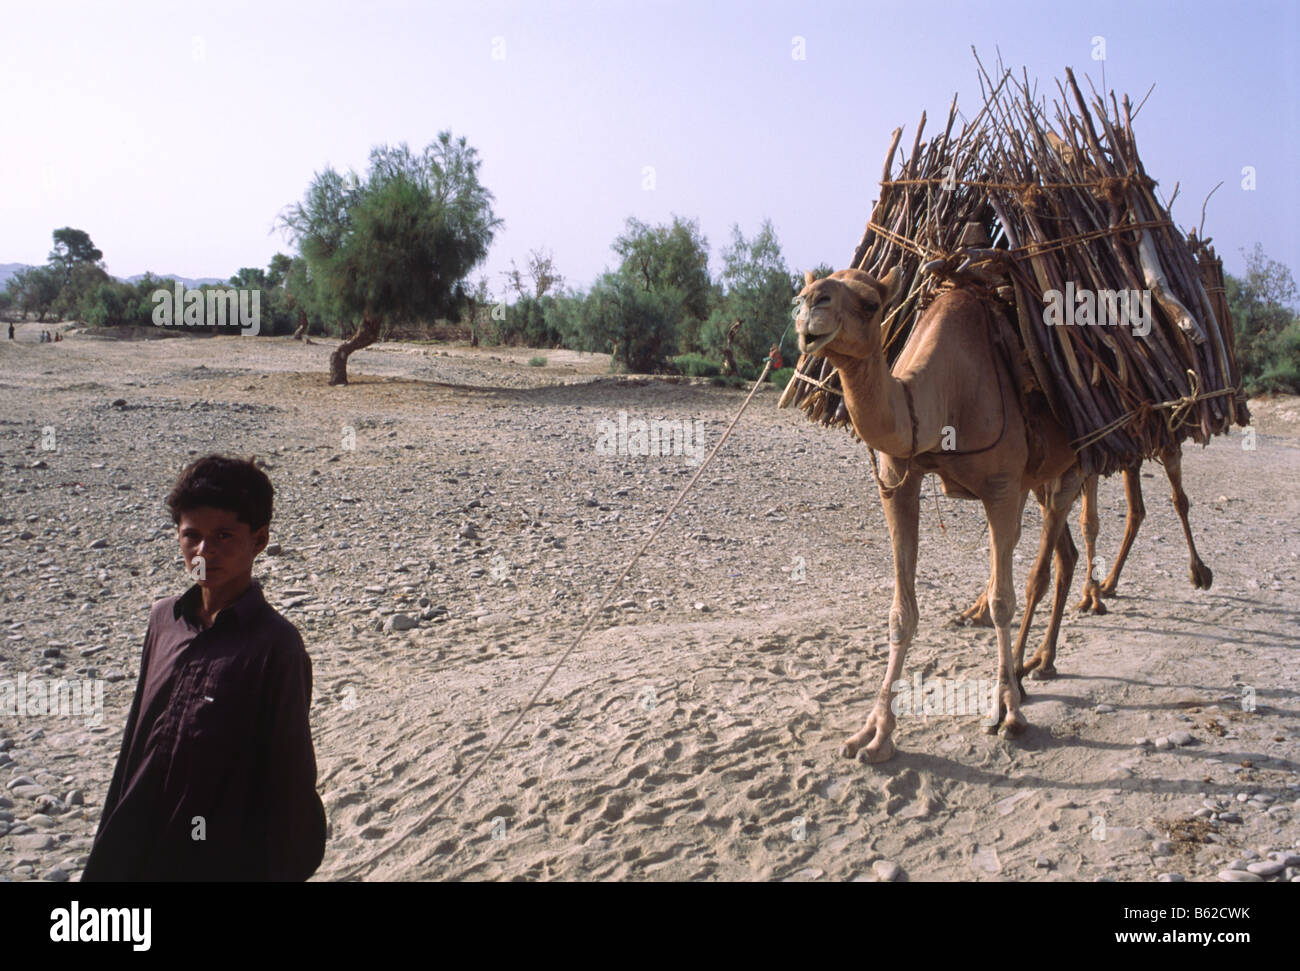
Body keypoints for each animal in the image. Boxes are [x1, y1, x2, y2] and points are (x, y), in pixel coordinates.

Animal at [793, 266, 1086, 760]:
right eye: (805, 291)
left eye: (871, 303)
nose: (812, 303)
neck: (941, 398)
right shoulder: (898, 480)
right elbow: (901, 612)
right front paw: (874, 734)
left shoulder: (1002, 485)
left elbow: (1003, 601)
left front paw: (1008, 713)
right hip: (1039, 479)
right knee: (1062, 553)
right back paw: (1033, 664)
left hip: (1078, 463)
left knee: (1044, 566)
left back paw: (1030, 669)